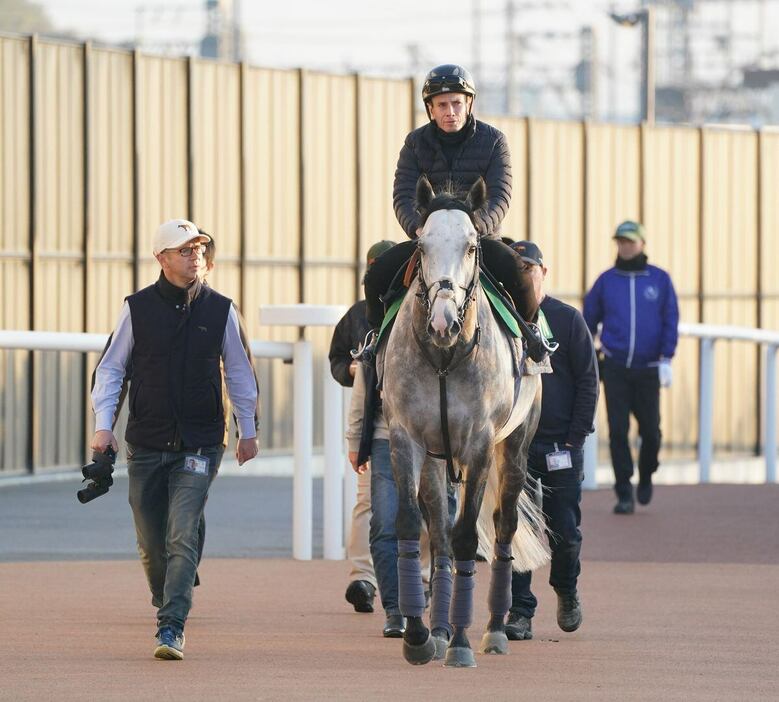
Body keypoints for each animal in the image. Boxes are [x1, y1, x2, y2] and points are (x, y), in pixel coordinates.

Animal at [378, 177, 548, 672]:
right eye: (421, 244)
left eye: (472, 245)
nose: (443, 320)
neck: (443, 357)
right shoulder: (407, 440)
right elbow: (413, 526)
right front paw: (419, 636)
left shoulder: (478, 445)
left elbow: (468, 535)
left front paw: (461, 643)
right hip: (438, 457)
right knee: (437, 529)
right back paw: (436, 631)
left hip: (515, 448)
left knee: (504, 524)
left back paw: (493, 630)